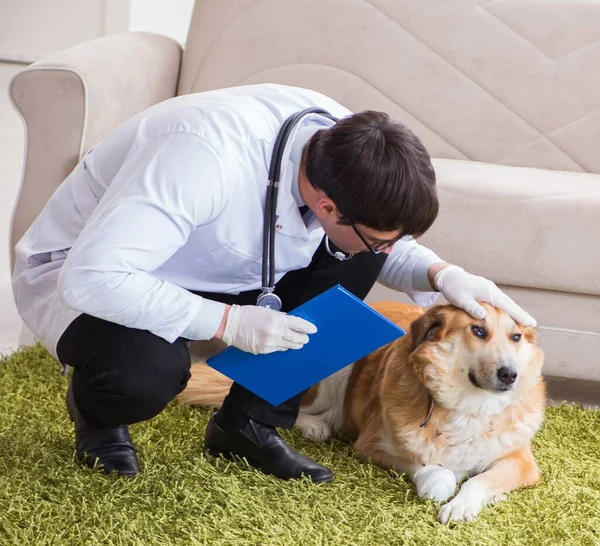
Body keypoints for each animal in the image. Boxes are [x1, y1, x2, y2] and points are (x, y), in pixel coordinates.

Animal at [178, 300, 544, 520]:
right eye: (478, 330)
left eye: (515, 337)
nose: (509, 375)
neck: (468, 405)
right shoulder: (372, 447)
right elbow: (436, 472)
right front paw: (441, 483)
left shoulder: (521, 463)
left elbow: (481, 479)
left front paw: (465, 505)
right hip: (336, 370)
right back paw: (314, 426)